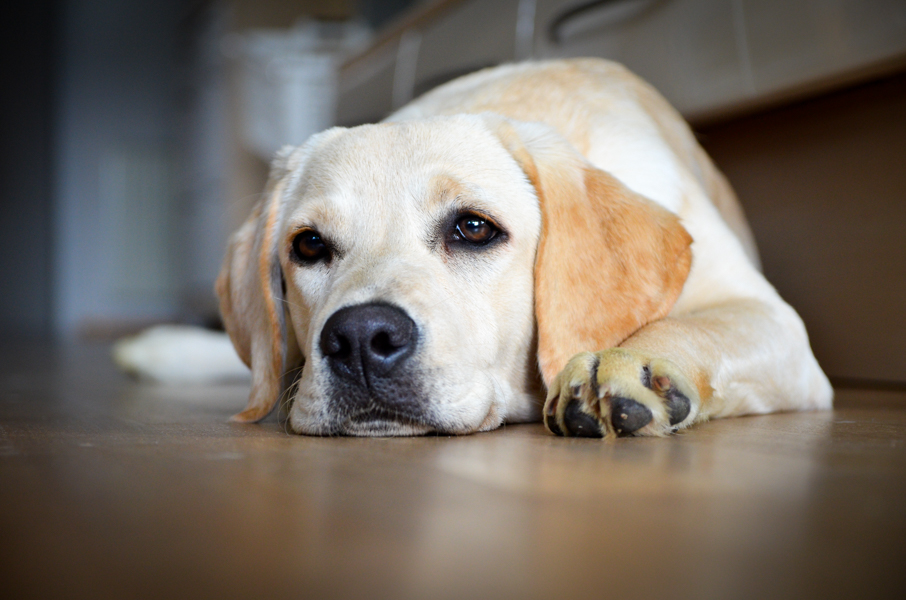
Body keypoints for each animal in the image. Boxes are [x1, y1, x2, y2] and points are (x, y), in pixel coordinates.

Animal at [208, 58, 828, 438]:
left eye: (474, 228)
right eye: (309, 245)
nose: (361, 338)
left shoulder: (776, 322)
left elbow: (691, 325)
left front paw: (627, 365)